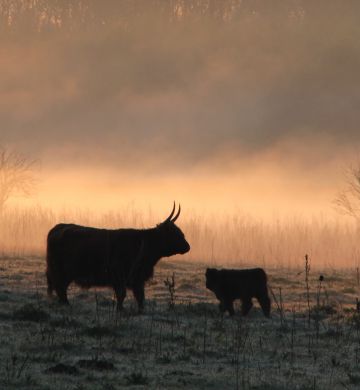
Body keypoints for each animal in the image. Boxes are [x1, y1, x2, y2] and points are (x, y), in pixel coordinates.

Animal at [46, 204, 190, 310]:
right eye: (175, 233)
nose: (188, 246)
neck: (142, 244)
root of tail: (58, 227)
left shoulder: (138, 279)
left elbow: (140, 297)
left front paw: (140, 311)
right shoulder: (120, 276)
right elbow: (122, 295)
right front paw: (120, 310)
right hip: (61, 270)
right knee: (60, 287)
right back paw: (66, 304)